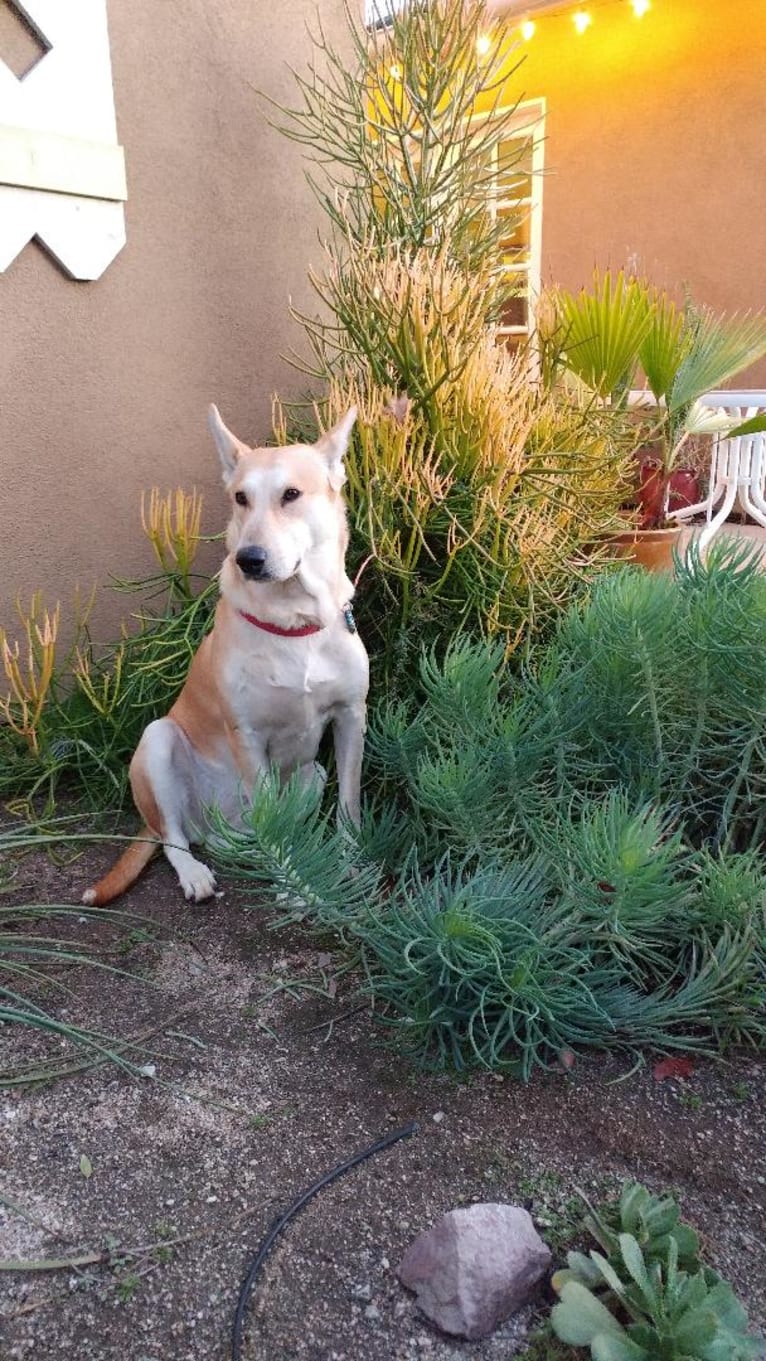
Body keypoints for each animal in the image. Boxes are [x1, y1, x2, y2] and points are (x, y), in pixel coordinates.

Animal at [83, 405, 367, 914]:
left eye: (291, 494)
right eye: (240, 498)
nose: (248, 559)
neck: (294, 621)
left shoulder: (352, 716)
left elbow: (350, 804)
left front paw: (349, 862)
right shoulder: (249, 737)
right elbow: (275, 825)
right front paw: (293, 885)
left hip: (313, 774)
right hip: (158, 741)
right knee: (174, 837)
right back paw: (196, 873)